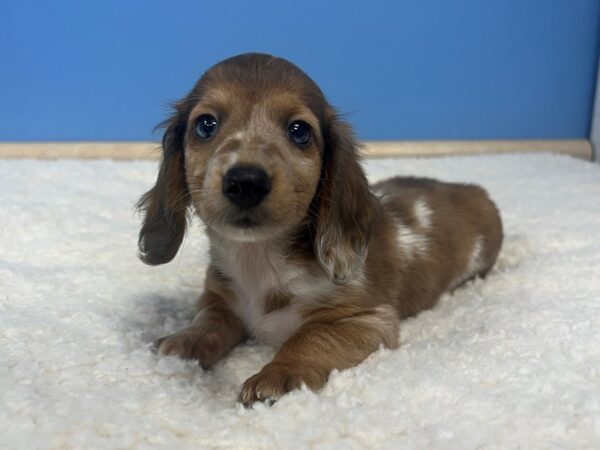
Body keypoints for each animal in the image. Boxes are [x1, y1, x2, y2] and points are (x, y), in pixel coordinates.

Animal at [136, 52, 502, 404]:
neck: (260, 259)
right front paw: (184, 342)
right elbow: (209, 319)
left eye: (299, 131)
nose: (246, 182)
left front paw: (277, 374)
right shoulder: (220, 296)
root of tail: (473, 189)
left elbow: (310, 337)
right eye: (206, 125)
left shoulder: (368, 318)